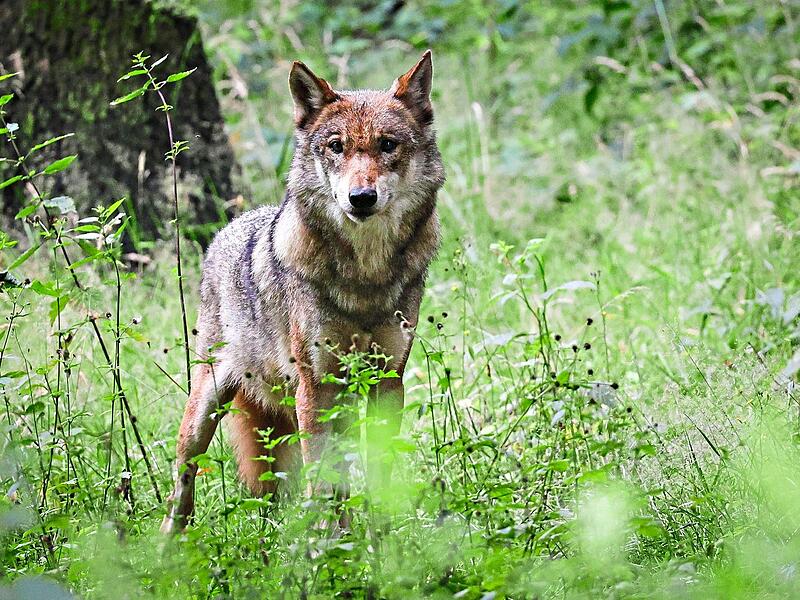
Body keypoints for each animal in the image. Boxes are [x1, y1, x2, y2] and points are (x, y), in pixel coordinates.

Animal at [161, 51, 445, 533]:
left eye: (388, 145)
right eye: (336, 146)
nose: (361, 197)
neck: (364, 276)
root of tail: (226, 231)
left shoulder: (388, 380)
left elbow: (378, 472)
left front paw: (381, 539)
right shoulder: (315, 385)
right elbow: (322, 479)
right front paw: (328, 544)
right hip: (205, 408)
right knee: (183, 480)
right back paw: (169, 542)